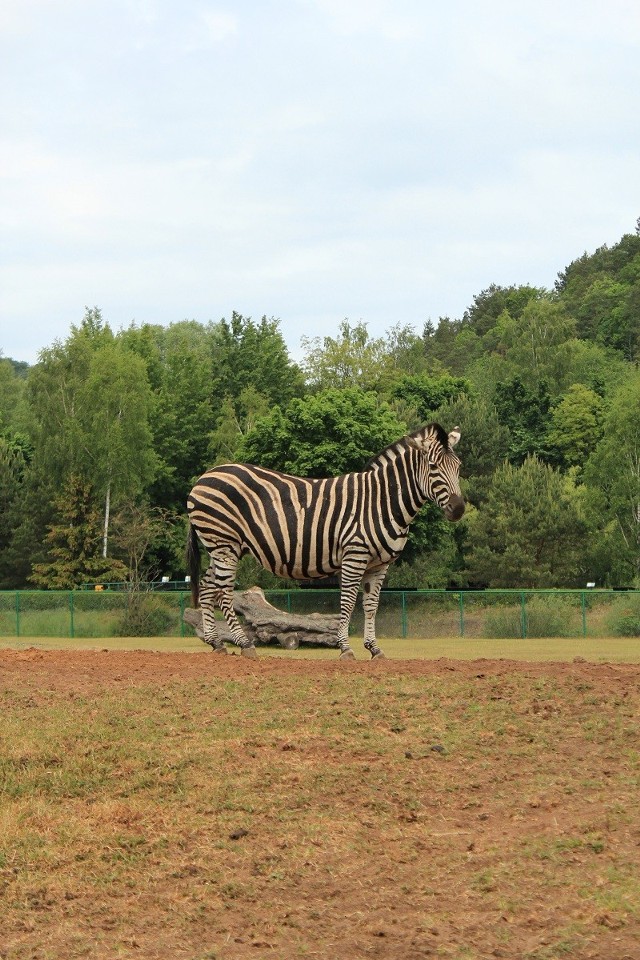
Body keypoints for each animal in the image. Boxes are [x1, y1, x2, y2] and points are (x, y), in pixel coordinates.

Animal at [186, 426, 464, 660]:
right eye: (433, 466)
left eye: (458, 466)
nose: (459, 509)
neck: (382, 501)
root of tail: (204, 476)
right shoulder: (354, 555)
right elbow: (348, 602)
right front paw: (346, 648)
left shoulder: (379, 564)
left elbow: (371, 605)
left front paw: (374, 649)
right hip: (224, 542)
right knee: (222, 591)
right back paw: (244, 644)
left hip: (220, 547)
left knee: (207, 587)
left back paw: (216, 643)